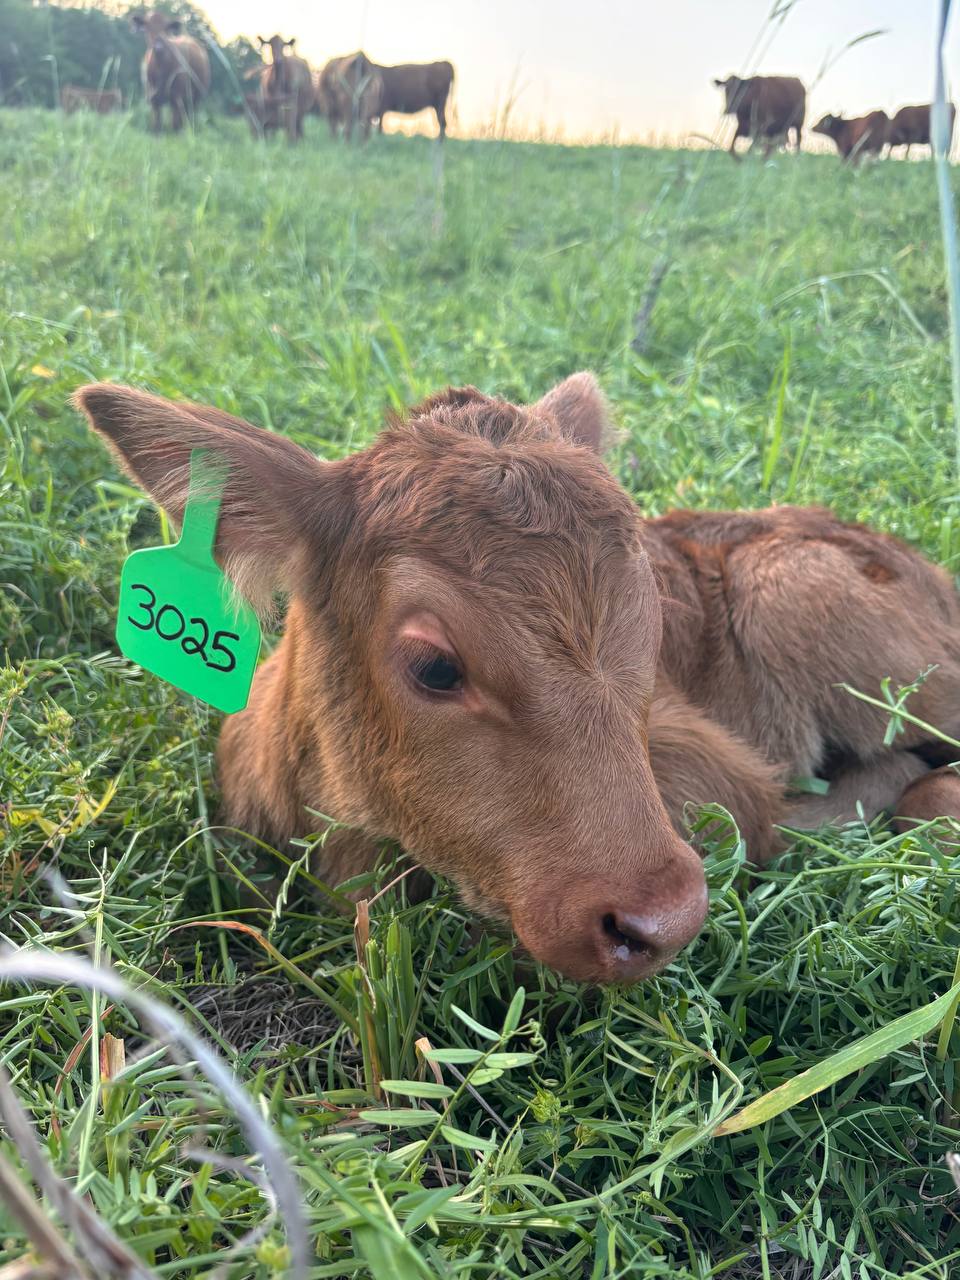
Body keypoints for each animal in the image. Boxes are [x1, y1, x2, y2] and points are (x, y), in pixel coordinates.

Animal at [74, 375, 960, 985]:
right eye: (435, 666)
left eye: (649, 623)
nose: (663, 919)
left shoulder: (710, 764)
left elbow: (749, 818)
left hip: (816, 604)